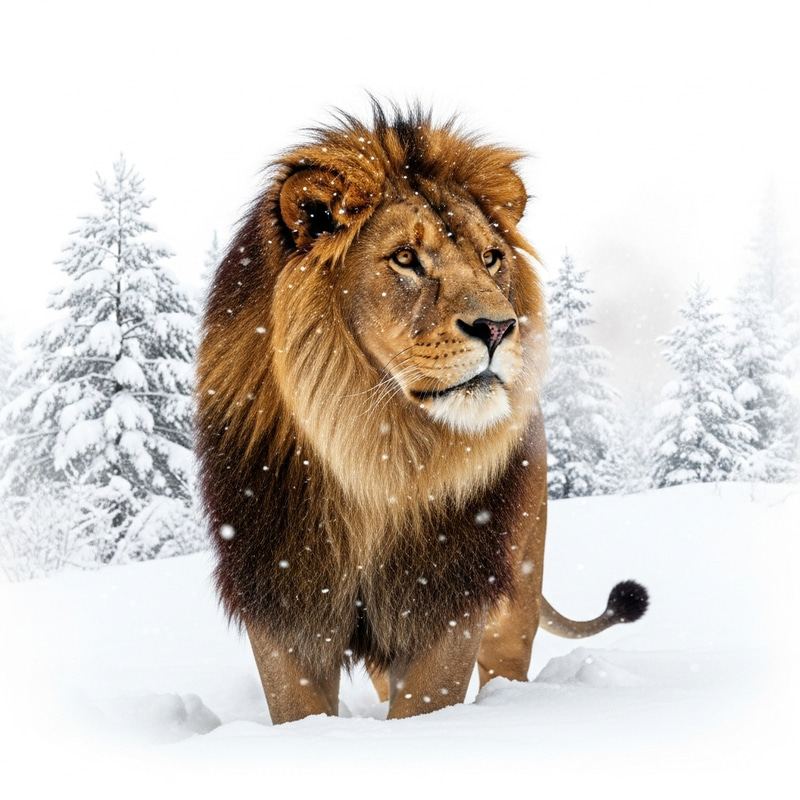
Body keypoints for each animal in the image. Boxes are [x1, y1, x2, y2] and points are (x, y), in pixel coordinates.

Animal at [196, 102, 648, 724]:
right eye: (406, 258)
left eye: (491, 258)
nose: (499, 327)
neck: (374, 450)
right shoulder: (284, 599)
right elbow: (300, 710)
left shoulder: (444, 598)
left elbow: (426, 706)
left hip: (516, 595)